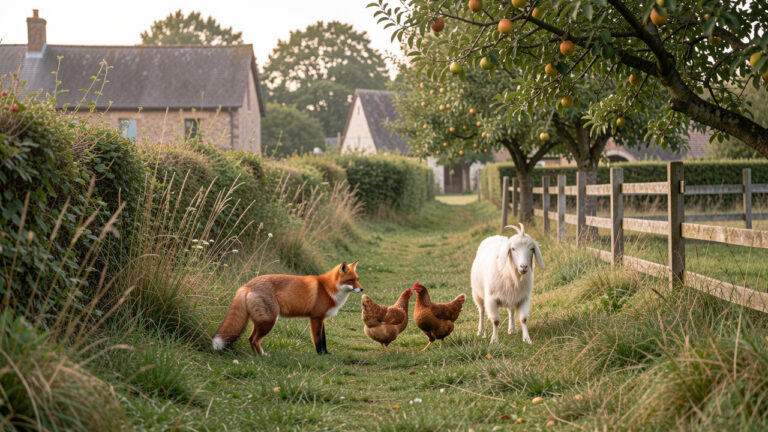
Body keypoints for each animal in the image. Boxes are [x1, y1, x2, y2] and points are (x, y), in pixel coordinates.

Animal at [212, 261, 363, 355]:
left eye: (357, 279)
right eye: (351, 280)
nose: (362, 289)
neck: (327, 288)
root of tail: (247, 285)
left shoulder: (322, 319)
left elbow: (324, 340)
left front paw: (326, 353)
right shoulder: (316, 318)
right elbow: (318, 340)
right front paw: (321, 355)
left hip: (261, 321)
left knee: (250, 338)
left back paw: (257, 355)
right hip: (269, 321)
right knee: (254, 339)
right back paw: (262, 356)